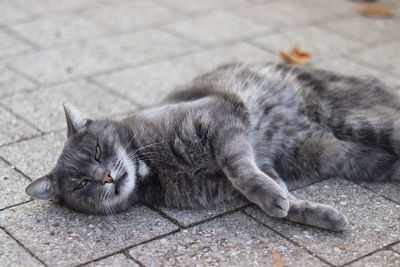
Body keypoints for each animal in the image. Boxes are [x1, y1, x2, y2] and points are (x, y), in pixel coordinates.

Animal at [25, 63, 400, 232]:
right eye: (81, 184)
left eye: (98, 152)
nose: (105, 177)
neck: (152, 167)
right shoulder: (254, 169)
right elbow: (280, 195)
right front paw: (314, 213)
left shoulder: (220, 121)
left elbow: (241, 169)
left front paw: (276, 199)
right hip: (342, 155)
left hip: (351, 119)